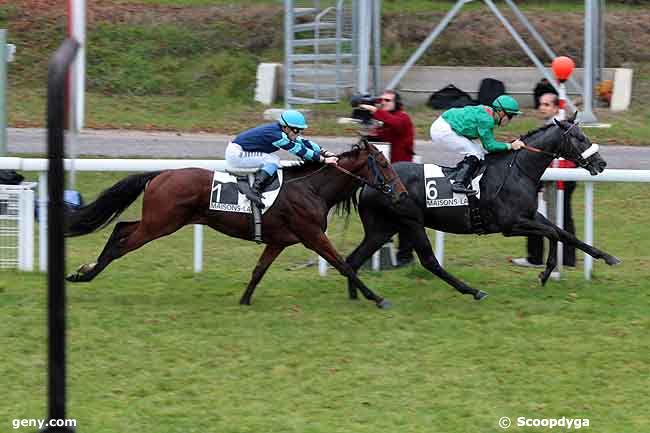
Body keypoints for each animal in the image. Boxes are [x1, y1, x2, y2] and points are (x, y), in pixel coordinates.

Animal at [63, 139, 402, 308]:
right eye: (383, 164)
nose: (400, 193)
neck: (311, 187)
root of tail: (160, 173)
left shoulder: (279, 240)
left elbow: (259, 270)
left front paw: (245, 299)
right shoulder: (312, 234)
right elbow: (344, 264)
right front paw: (378, 298)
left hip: (159, 221)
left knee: (121, 228)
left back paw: (85, 270)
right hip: (160, 224)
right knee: (122, 241)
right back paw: (85, 275)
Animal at [344, 116, 616, 302]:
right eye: (579, 138)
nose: (601, 163)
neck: (517, 170)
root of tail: (369, 182)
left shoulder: (530, 215)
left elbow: (564, 233)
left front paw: (607, 256)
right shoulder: (510, 224)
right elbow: (553, 234)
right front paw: (546, 273)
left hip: (383, 228)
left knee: (353, 259)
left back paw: (358, 295)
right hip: (410, 222)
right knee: (430, 261)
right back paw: (473, 291)